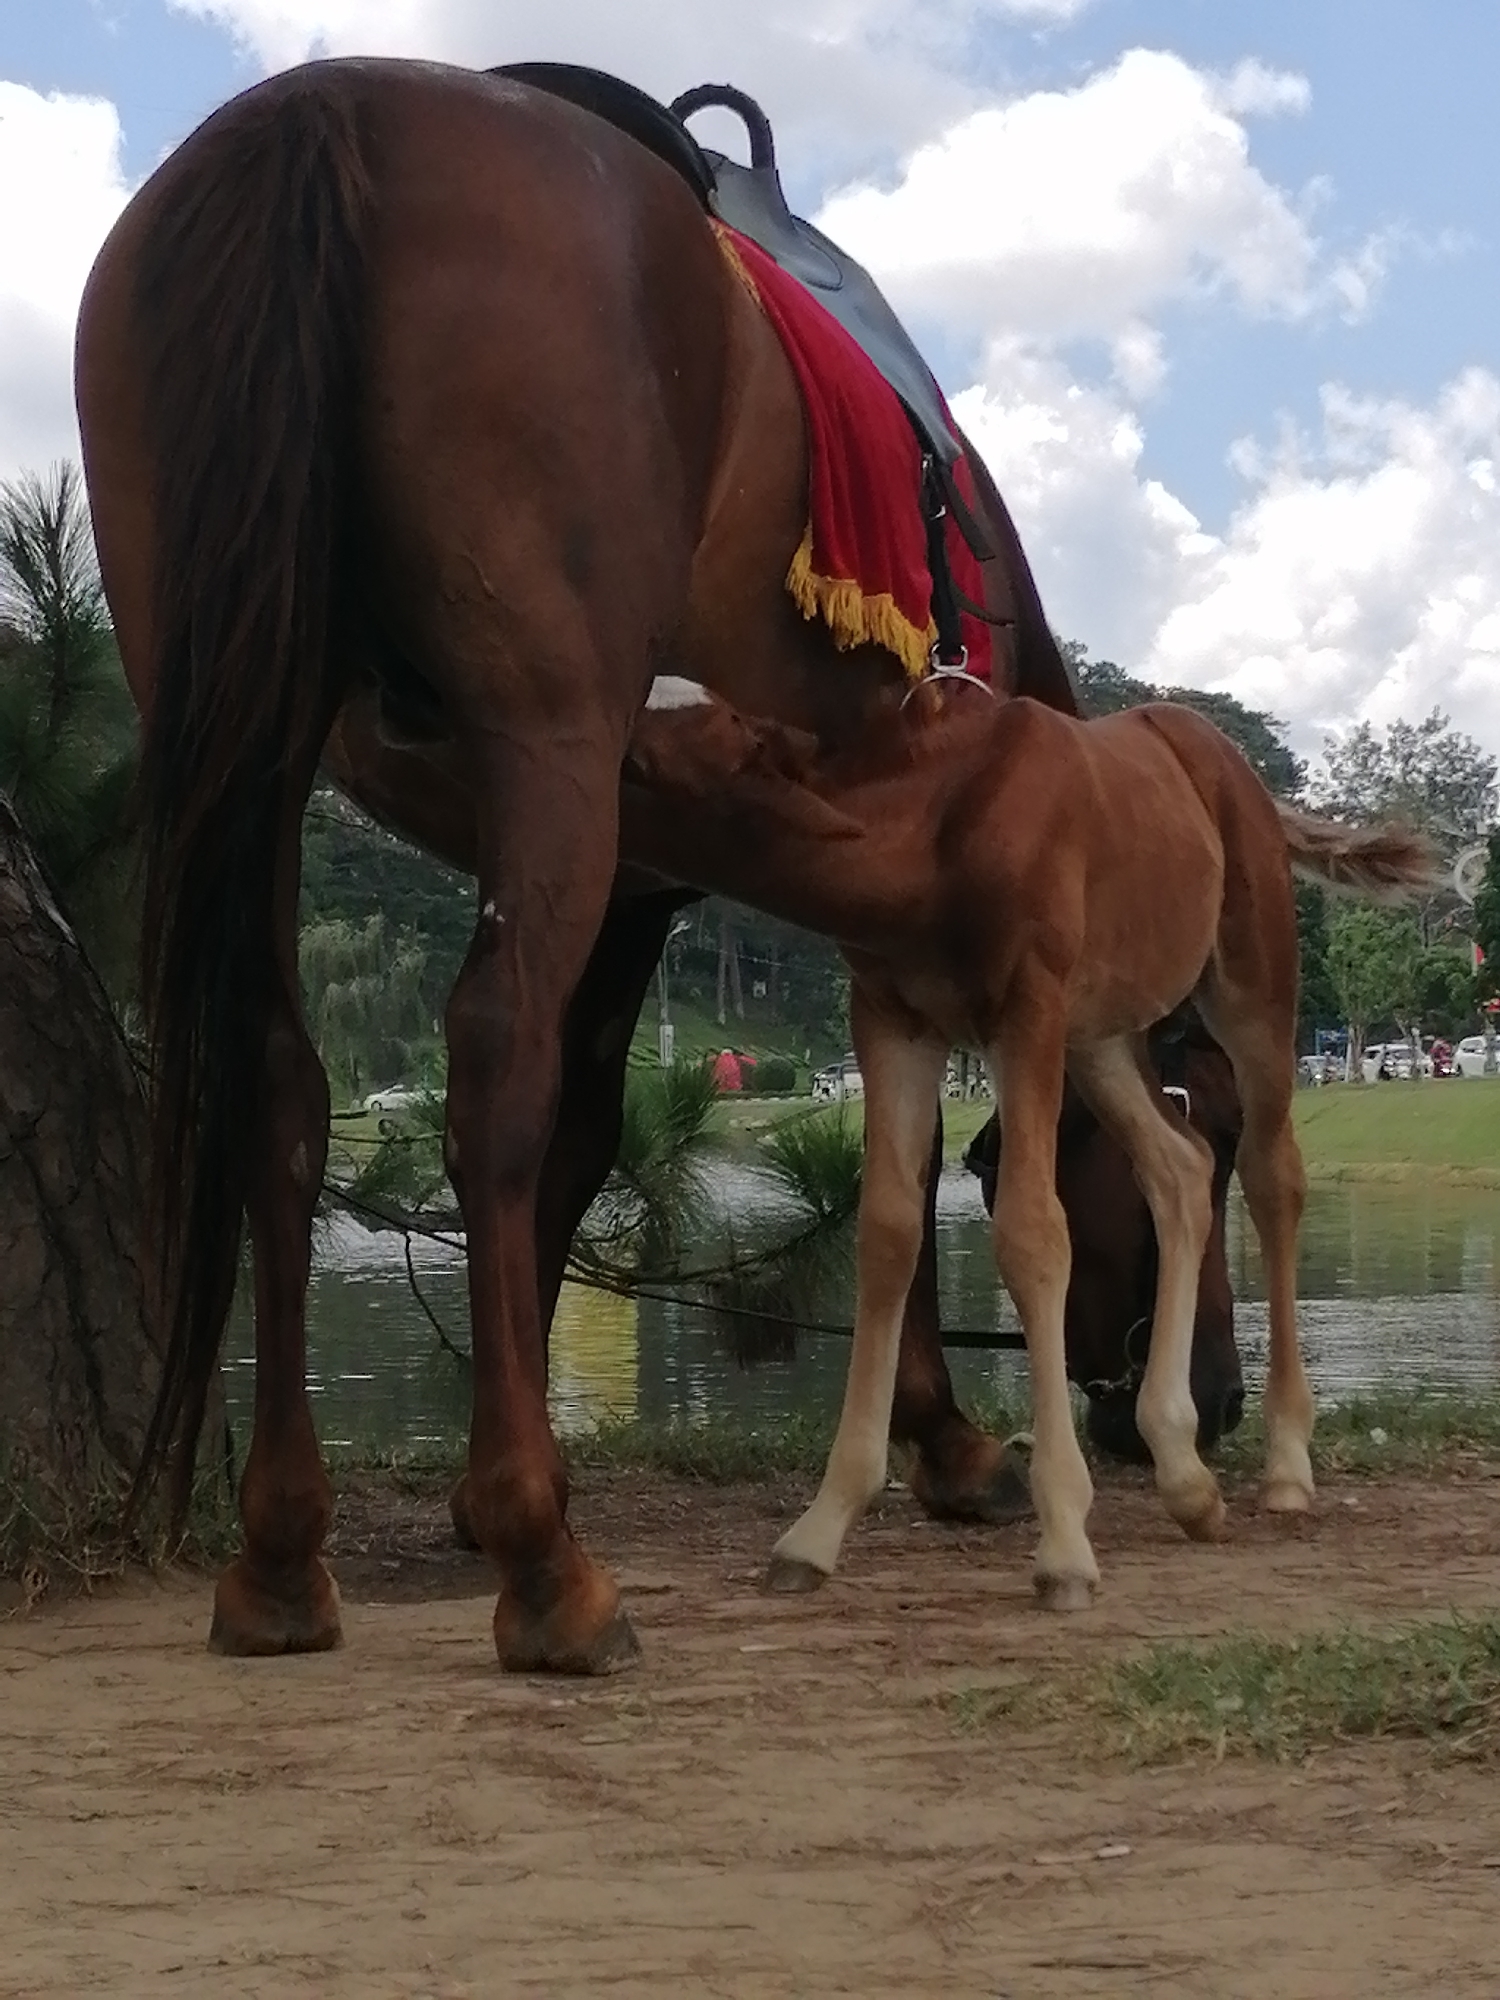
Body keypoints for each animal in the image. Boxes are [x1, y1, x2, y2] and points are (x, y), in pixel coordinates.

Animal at [73, 55, 1130, 1674]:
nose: (1183, 1407)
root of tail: (325, 110)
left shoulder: (638, 888)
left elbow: (582, 1150)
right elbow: (875, 1147)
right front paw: (942, 1436)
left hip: (253, 739)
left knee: (278, 1081)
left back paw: (282, 1550)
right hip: (548, 743)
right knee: (488, 1060)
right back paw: (547, 1568)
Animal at [622, 677, 1439, 1604]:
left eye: (648, 760)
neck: (934, 825)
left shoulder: (1028, 1013)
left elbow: (1034, 1233)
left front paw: (1064, 1544)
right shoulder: (894, 1023)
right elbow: (888, 1234)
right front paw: (821, 1526)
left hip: (1250, 991)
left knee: (1271, 1179)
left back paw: (1287, 1465)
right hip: (1102, 1039)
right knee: (1179, 1169)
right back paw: (1183, 1470)